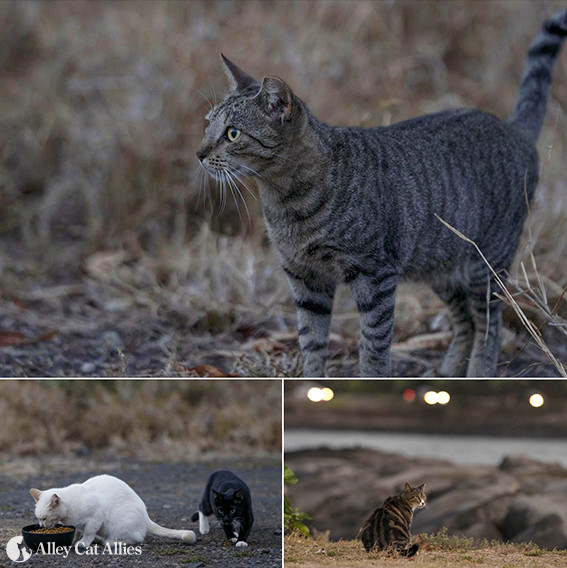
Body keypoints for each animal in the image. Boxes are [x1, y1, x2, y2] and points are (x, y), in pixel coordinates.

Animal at [30, 472, 196, 548]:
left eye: (43, 518)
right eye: (38, 519)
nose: (41, 526)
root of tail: (146, 518)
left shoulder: (95, 518)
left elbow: (88, 533)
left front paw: (83, 543)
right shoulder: (79, 525)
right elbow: (78, 532)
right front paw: (75, 540)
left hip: (121, 525)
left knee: (134, 539)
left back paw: (110, 541)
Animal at [199, 11, 567, 374]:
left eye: (232, 133)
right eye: (207, 124)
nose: (199, 153)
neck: (285, 201)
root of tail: (513, 128)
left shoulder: (375, 276)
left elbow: (373, 347)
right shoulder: (305, 278)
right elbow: (311, 342)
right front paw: (311, 381)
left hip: (486, 266)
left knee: (490, 326)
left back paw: (480, 373)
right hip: (442, 266)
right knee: (466, 322)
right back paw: (448, 372)